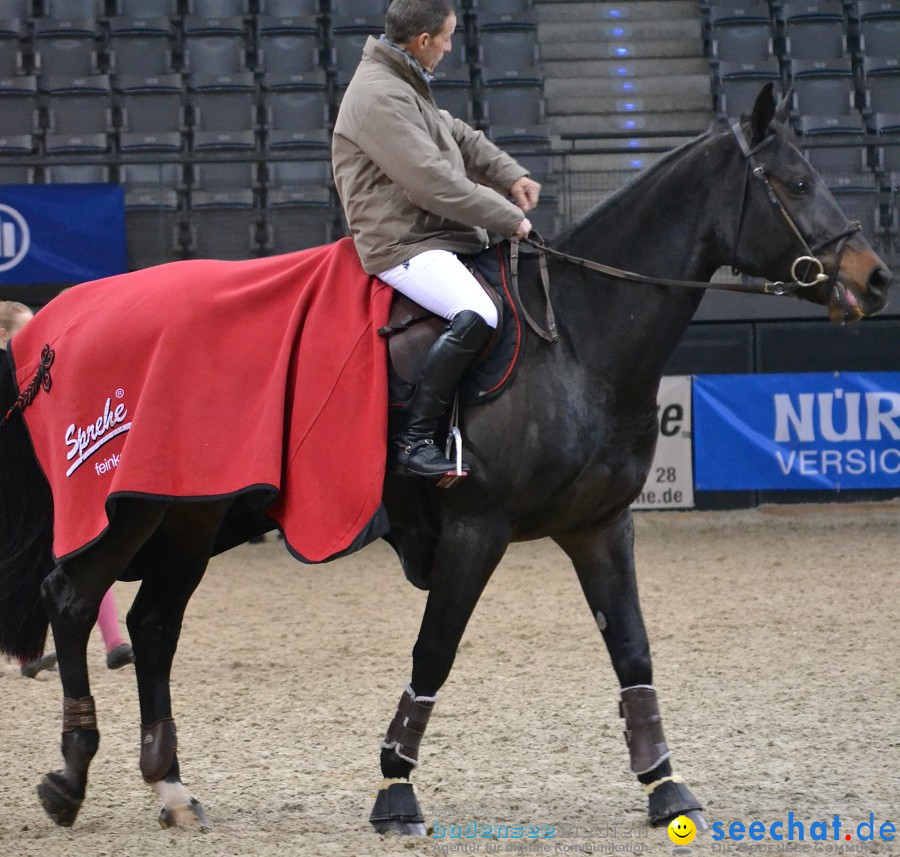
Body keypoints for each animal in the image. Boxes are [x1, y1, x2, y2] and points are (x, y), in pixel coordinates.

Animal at [0, 87, 888, 836]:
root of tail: (56, 325)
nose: (875, 278)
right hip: (134, 511)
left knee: (152, 624)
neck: (578, 340)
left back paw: (171, 785)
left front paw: (664, 782)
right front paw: (395, 787)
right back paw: (71, 774)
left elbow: (632, 648)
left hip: (195, 516)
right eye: (796, 181)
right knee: (72, 598)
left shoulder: (601, 526)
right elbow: (435, 650)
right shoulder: (475, 529)